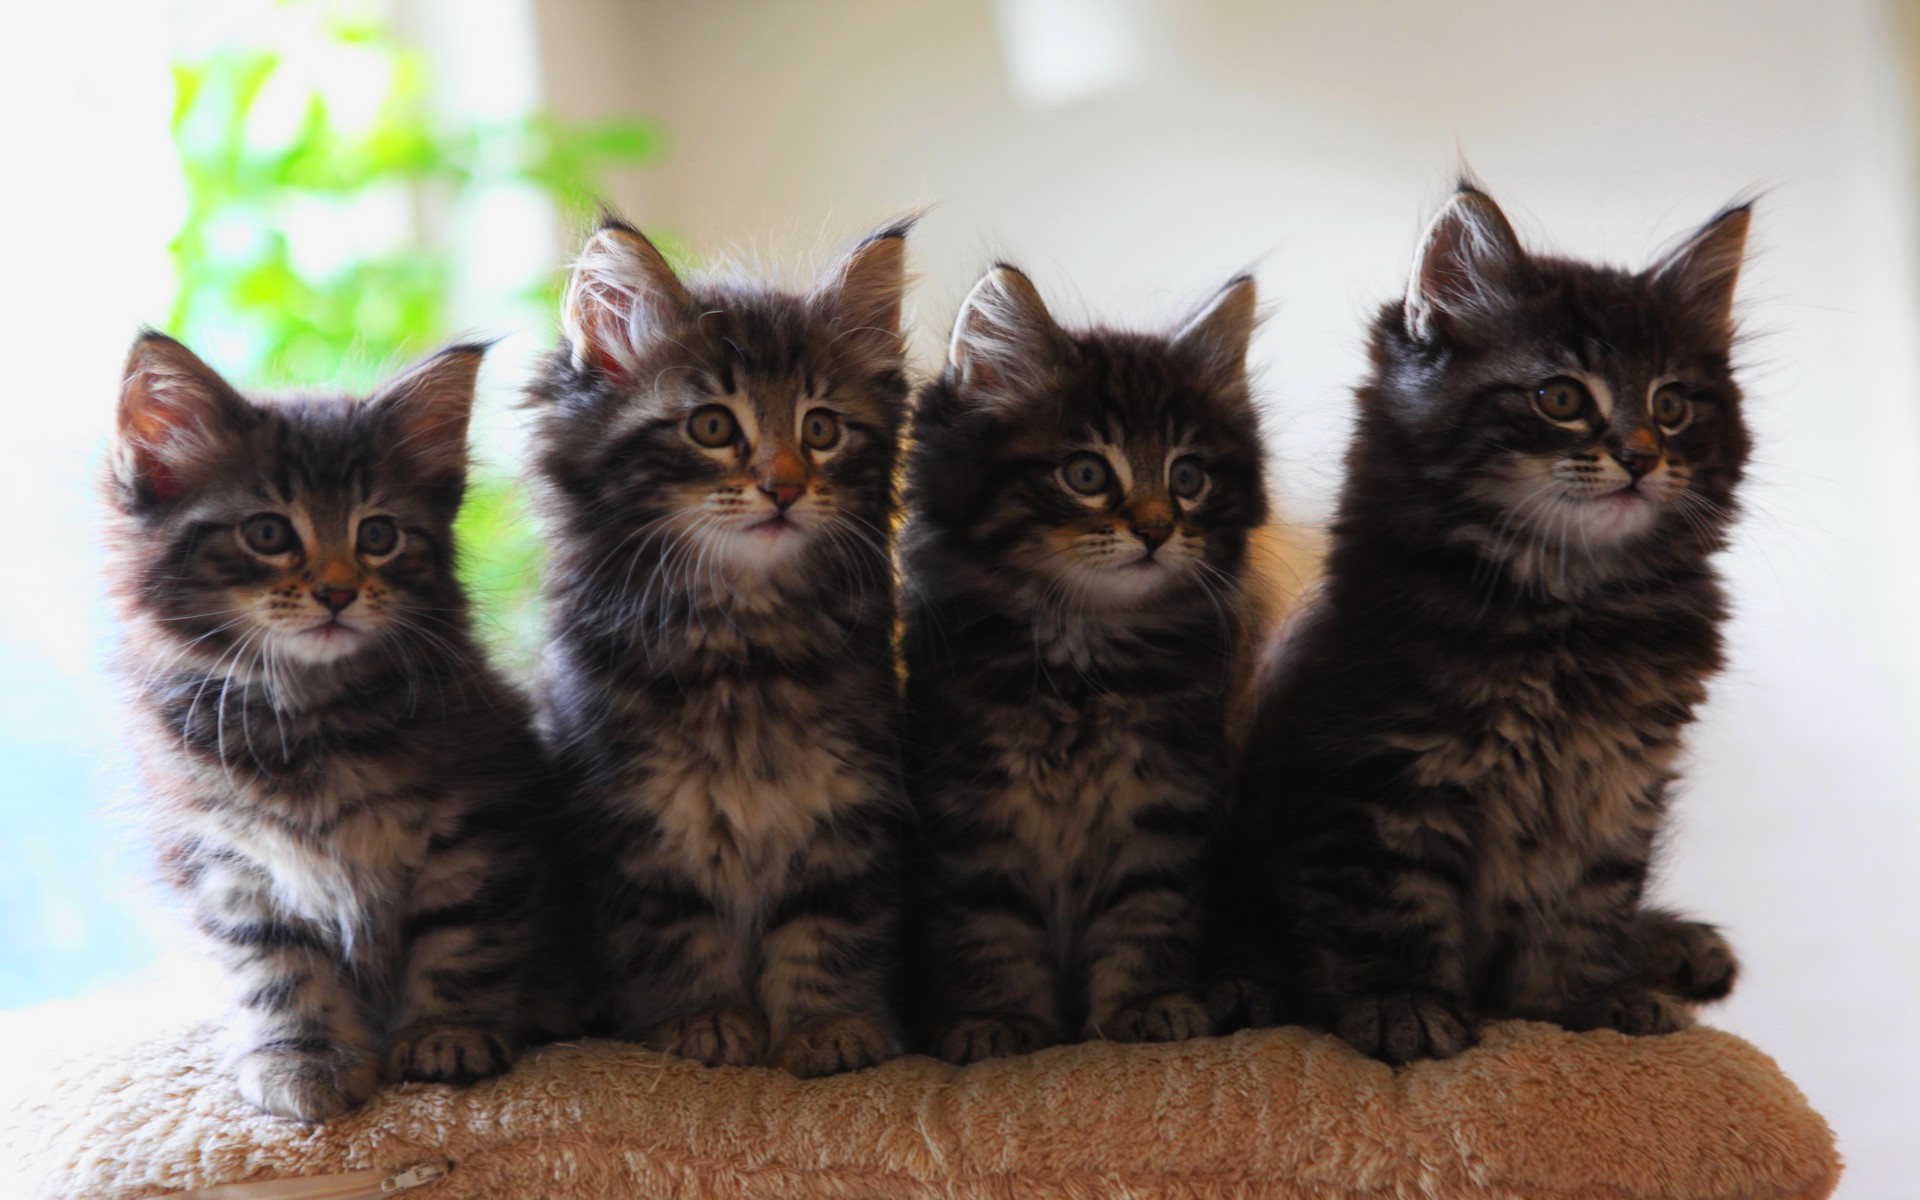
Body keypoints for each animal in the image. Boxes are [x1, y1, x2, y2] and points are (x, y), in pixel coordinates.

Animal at [105, 332, 560, 1121]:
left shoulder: (480, 817)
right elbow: (278, 969)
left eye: (378, 534)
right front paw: (300, 1057)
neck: (310, 720)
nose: (339, 592)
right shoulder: (224, 858)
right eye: (267, 533)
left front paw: (446, 1034)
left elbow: (461, 936)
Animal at [526, 215, 913, 1075]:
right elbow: (675, 934)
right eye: (712, 426)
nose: (785, 486)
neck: (745, 644)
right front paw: (703, 1022)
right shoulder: (631, 819)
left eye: (821, 429)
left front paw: (826, 1027)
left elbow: (825, 928)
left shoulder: (848, 807)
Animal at [902, 264, 1274, 1059]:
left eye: (1188, 479)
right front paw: (1000, 1023)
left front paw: (1146, 1007)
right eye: (1085, 474)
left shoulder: (1166, 801)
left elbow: (1146, 914)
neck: (1085, 653)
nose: (1157, 530)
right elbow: (989, 927)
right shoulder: (970, 811)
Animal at [1221, 182, 1751, 1059]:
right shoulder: (1378, 778)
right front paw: (1404, 1006)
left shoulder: (1617, 787)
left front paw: (1577, 1003)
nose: (1641, 457)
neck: (1567, 612)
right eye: (1560, 398)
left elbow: (1588, 904)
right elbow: (1393, 906)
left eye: (1671, 405)